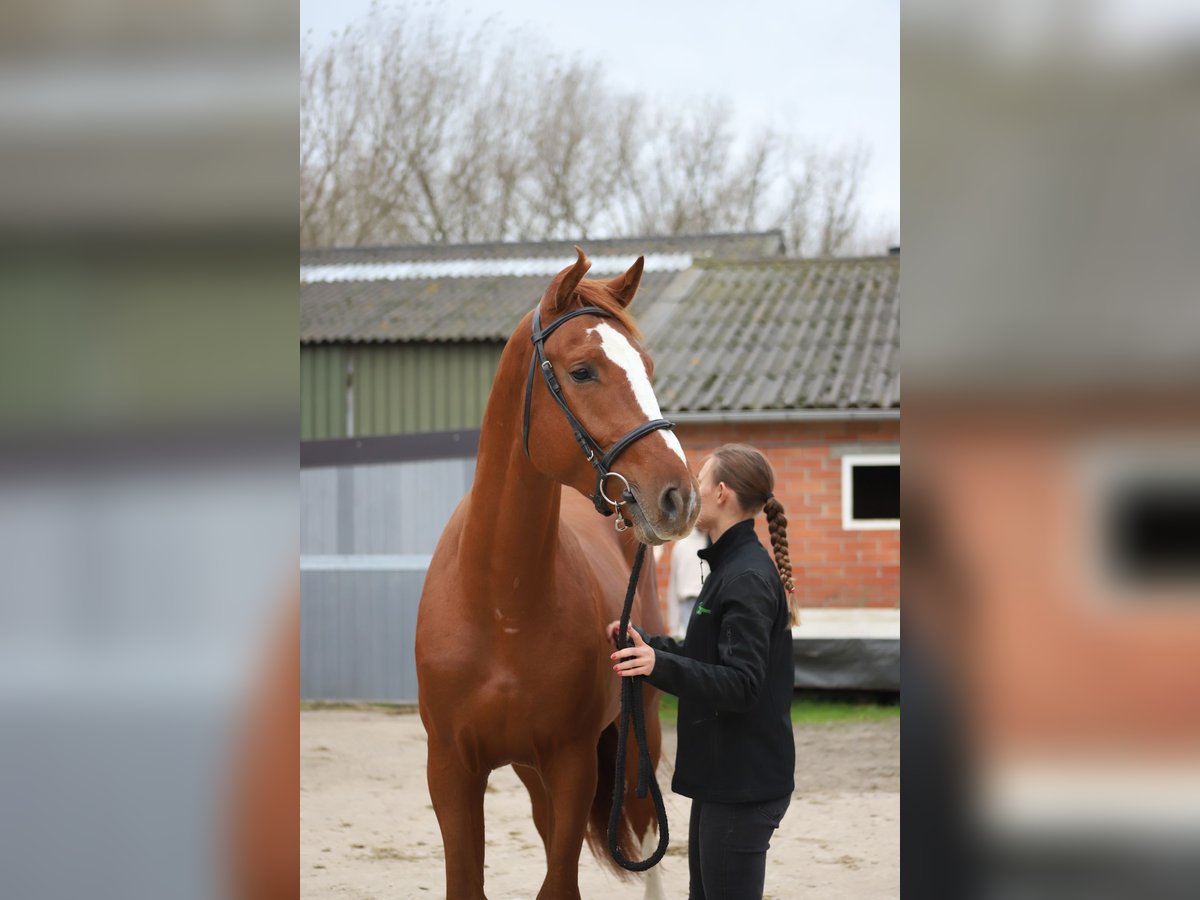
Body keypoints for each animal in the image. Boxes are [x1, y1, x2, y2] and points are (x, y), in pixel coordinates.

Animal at [417, 248, 700, 900]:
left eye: (647, 366)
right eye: (583, 371)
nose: (679, 497)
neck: (500, 604)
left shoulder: (573, 763)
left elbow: (560, 881)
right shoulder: (450, 770)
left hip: (636, 734)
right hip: (530, 768)